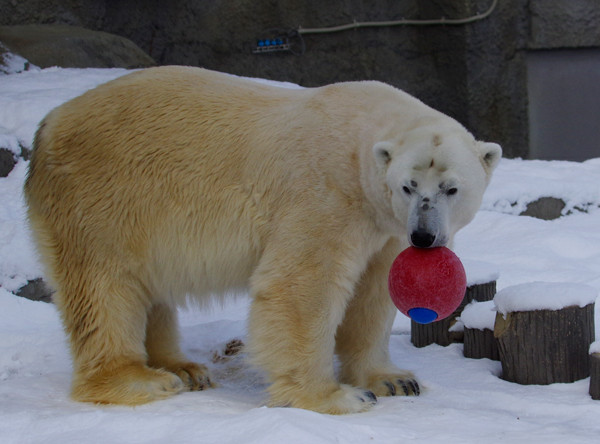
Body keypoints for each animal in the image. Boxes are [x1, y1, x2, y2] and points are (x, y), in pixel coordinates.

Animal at [24, 66, 502, 412]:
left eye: (451, 188)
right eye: (408, 186)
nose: (424, 236)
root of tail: (47, 126)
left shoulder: (384, 227)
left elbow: (373, 294)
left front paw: (394, 380)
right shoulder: (327, 194)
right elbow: (303, 286)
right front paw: (335, 396)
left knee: (149, 286)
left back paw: (184, 368)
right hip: (100, 198)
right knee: (104, 287)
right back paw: (140, 380)